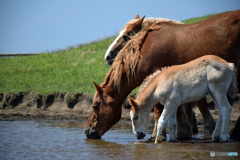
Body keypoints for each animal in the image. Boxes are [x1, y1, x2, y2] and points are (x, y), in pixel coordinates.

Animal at [86, 10, 240, 140]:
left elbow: (158, 111)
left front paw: (157, 135)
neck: (145, 50)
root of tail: (229, 65)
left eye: (95, 106)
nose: (88, 131)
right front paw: (181, 133)